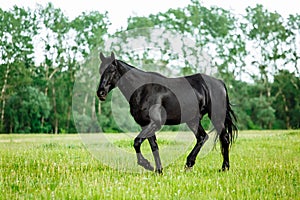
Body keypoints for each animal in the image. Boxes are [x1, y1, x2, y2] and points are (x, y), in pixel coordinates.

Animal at [96, 52, 237, 173]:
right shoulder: (146, 125)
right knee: (202, 137)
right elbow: (154, 146)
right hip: (193, 120)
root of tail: (219, 83)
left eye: (111, 70)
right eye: (100, 71)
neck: (142, 89)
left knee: (224, 138)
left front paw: (146, 164)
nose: (100, 93)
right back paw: (190, 164)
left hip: (216, 117)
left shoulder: (155, 123)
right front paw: (158, 170)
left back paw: (224, 168)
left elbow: (137, 142)